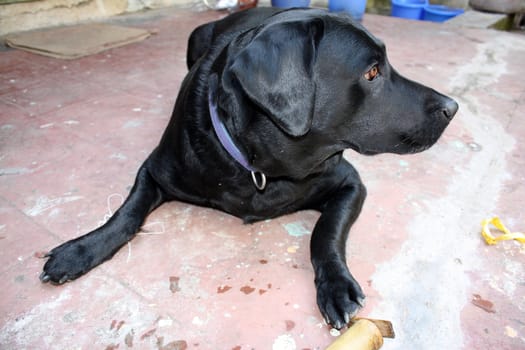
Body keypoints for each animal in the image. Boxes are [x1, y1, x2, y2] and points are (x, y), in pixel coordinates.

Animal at [41, 8, 456, 330]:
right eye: (372, 72)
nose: (452, 107)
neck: (260, 165)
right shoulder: (155, 169)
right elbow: (127, 213)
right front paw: (81, 250)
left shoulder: (349, 183)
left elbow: (325, 233)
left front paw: (336, 286)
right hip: (194, 36)